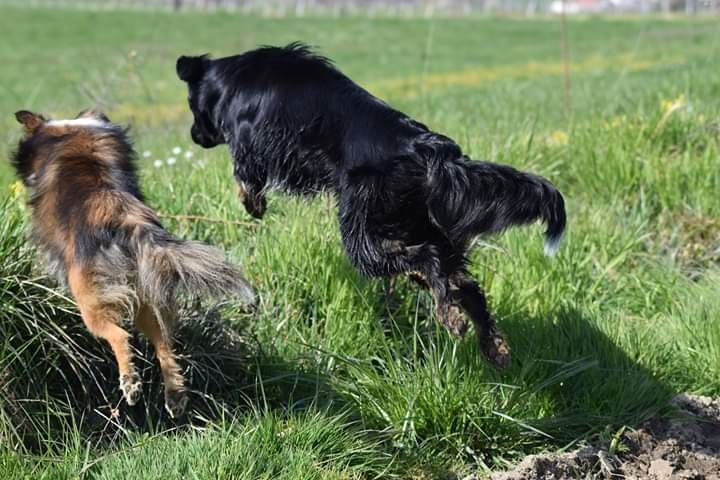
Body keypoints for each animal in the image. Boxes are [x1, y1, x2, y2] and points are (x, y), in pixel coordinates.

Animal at [11, 109, 256, 416]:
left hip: (92, 300)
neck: (72, 131)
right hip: (145, 290)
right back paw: (175, 396)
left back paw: (130, 383)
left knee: (119, 334)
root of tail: (123, 217)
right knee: (163, 341)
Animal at [177, 44, 564, 368]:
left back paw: (451, 317)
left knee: (428, 262)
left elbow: (244, 173)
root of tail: (427, 149)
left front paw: (252, 203)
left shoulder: (249, 139)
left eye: (192, 107)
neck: (233, 79)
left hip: (362, 234)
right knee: (462, 284)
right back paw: (492, 344)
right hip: (411, 227)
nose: (194, 136)